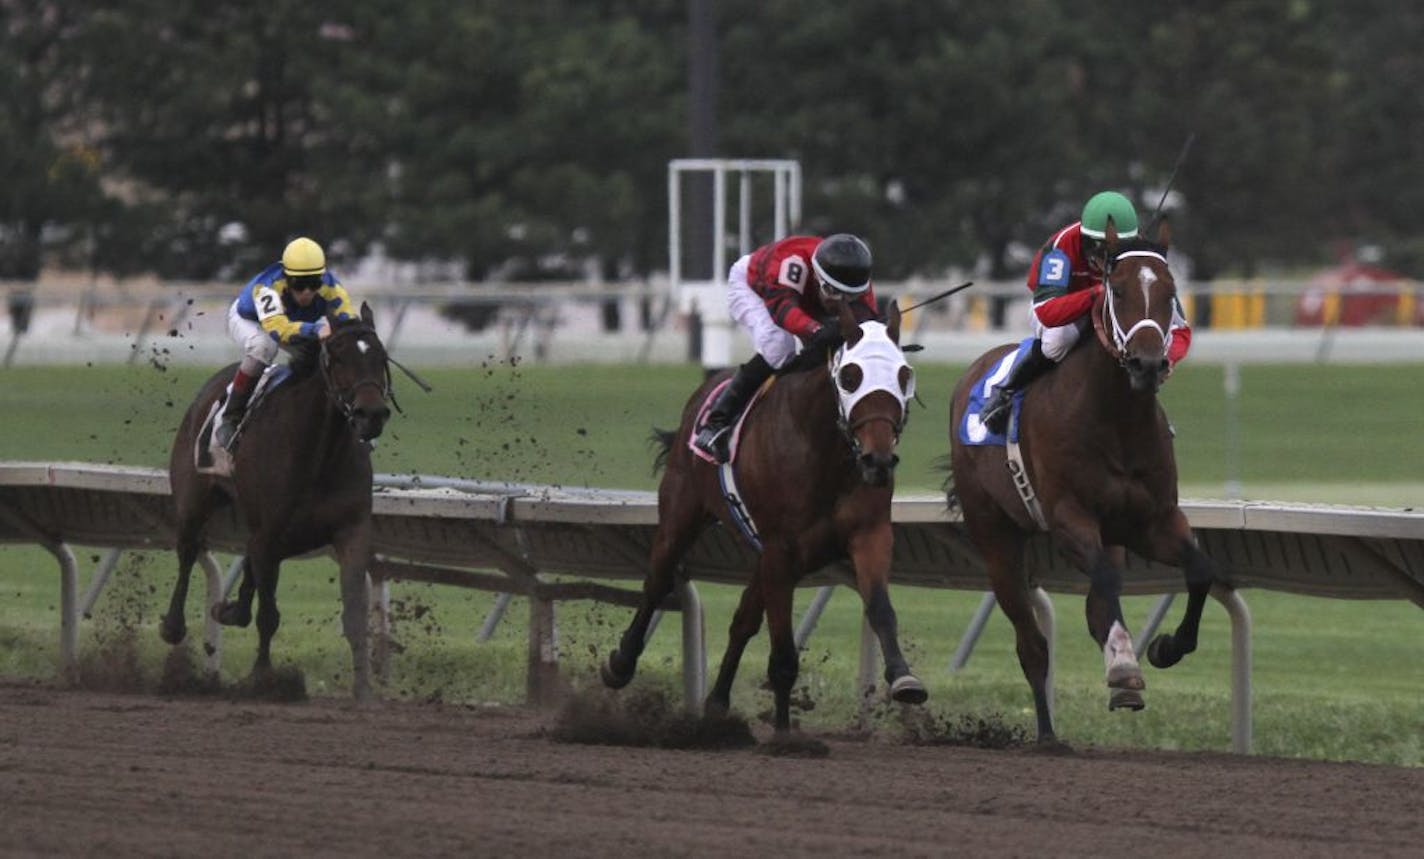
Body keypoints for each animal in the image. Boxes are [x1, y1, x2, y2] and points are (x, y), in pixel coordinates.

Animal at [160, 302, 393, 698]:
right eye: (339, 358)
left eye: (381, 357)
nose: (372, 414)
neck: (318, 453)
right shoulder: (269, 534)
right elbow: (268, 616)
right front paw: (264, 678)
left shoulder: (351, 530)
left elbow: (354, 613)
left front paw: (363, 689)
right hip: (193, 500)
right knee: (188, 551)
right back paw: (174, 626)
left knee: (245, 563)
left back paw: (229, 610)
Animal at [598, 300, 922, 735]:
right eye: (851, 376)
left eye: (904, 375)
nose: (879, 461)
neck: (824, 452)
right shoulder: (781, 549)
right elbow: (783, 654)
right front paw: (785, 734)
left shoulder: (867, 535)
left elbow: (881, 610)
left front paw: (904, 679)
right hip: (682, 511)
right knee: (657, 582)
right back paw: (620, 664)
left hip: (760, 549)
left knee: (743, 619)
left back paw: (717, 702)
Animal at [951, 223, 1218, 746]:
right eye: (1118, 290)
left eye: (1171, 293)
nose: (1147, 365)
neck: (1116, 420)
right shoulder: (1070, 517)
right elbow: (1105, 585)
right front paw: (1125, 667)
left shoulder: (1151, 520)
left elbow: (1199, 570)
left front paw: (1164, 648)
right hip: (995, 535)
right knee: (1032, 642)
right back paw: (1049, 734)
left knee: (1096, 607)